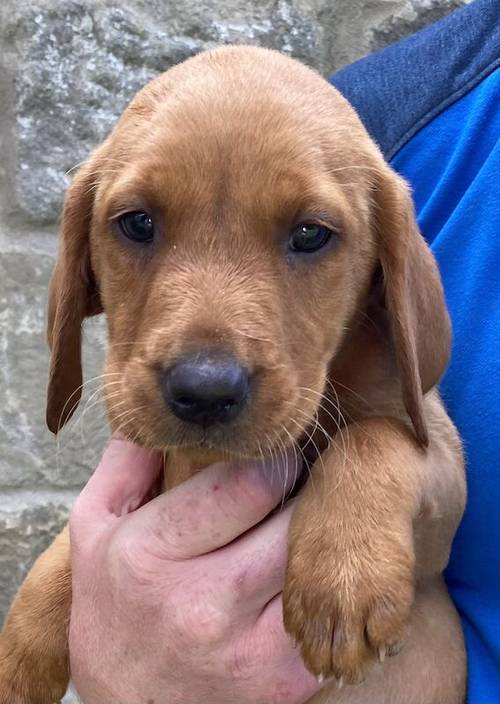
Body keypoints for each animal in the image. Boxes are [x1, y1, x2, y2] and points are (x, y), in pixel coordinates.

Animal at [0, 46, 464, 700]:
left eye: (310, 234)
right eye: (137, 223)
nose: (204, 390)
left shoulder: (441, 467)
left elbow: (371, 439)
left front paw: (343, 577)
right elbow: (73, 538)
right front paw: (21, 645)